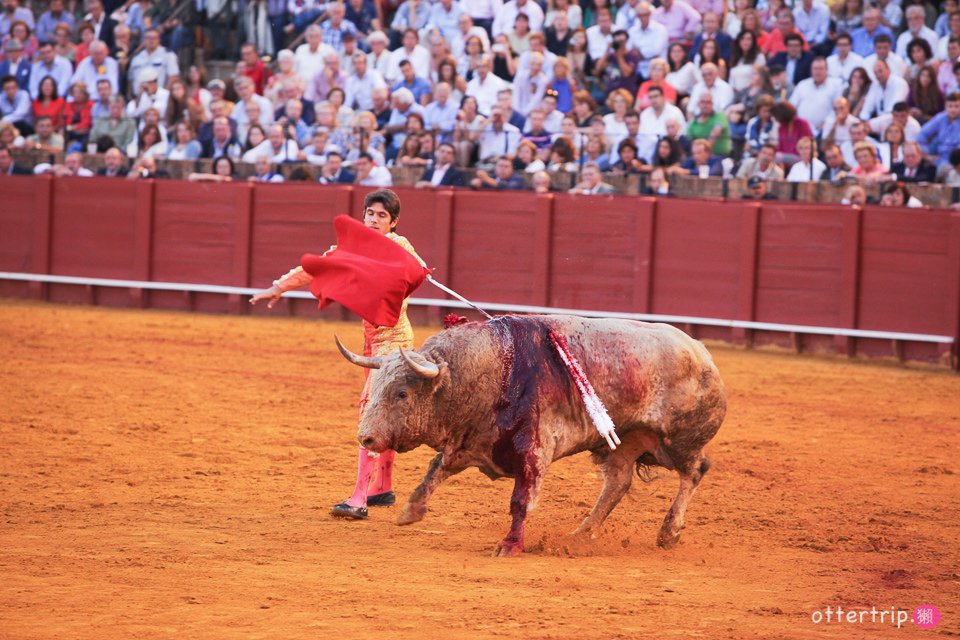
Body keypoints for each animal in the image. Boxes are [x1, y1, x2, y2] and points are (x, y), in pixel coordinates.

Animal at [334, 316, 724, 556]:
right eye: (377, 386)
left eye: (402, 393)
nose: (366, 437)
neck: (492, 367)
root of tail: (702, 352)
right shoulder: (468, 441)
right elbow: (435, 470)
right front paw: (410, 510)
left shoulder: (533, 450)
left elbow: (521, 501)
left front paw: (509, 545)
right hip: (623, 440)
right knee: (618, 482)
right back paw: (582, 533)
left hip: (677, 441)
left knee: (694, 472)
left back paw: (668, 532)